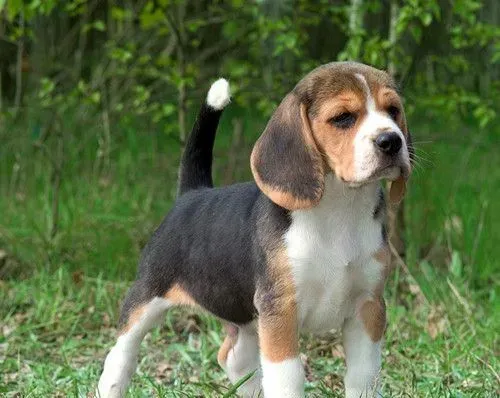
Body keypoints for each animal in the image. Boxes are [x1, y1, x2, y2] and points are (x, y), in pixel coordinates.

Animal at [95, 61, 412, 398]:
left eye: (393, 111)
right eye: (343, 118)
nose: (392, 141)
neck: (340, 209)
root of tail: (192, 193)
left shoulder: (368, 307)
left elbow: (363, 376)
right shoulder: (280, 311)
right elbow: (288, 378)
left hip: (246, 318)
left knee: (233, 357)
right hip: (147, 297)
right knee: (121, 354)